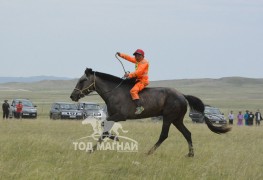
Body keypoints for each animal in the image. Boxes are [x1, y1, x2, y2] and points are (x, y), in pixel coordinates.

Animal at [69, 68, 231, 156]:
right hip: (176, 120)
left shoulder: (121, 116)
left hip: (168, 118)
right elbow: (104, 129)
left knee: (164, 135)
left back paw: (148, 152)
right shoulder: (113, 116)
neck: (114, 92)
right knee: (187, 134)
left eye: (82, 80)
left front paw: (113, 139)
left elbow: (104, 126)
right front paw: (94, 148)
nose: (73, 96)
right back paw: (190, 154)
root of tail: (182, 95)